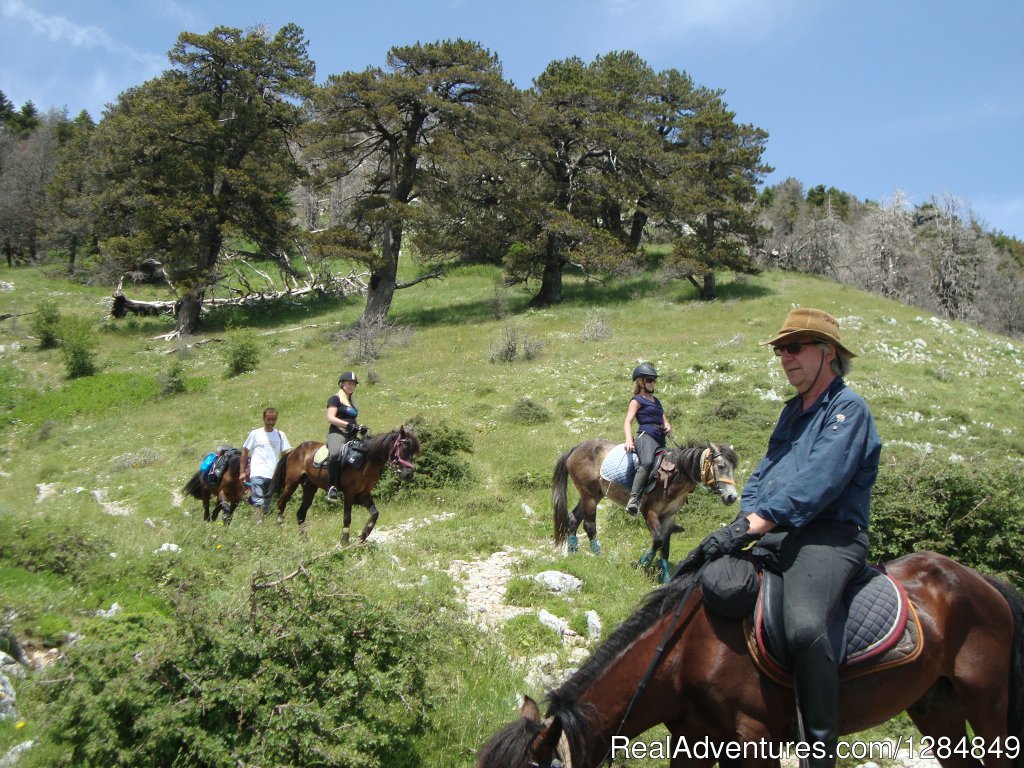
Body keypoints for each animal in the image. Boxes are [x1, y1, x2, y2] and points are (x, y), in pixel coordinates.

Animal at [270, 428, 421, 548]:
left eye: (412, 451)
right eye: (403, 449)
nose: (408, 475)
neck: (366, 460)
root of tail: (294, 451)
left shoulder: (363, 494)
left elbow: (375, 514)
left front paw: (362, 537)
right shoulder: (349, 493)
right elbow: (347, 518)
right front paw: (345, 541)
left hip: (310, 487)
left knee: (301, 513)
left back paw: (304, 539)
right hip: (291, 484)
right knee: (281, 504)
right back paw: (279, 529)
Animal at [475, 552, 1024, 768]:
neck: (683, 653)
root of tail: (980, 582)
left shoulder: (754, 741)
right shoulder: (692, 740)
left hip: (986, 704)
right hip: (936, 708)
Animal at [552, 438, 737, 581]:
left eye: (733, 468)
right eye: (721, 466)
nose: (732, 497)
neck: (674, 476)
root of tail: (576, 448)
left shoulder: (669, 516)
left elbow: (665, 547)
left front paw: (665, 577)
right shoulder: (650, 512)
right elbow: (658, 540)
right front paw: (642, 563)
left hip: (595, 495)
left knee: (573, 518)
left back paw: (573, 552)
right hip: (589, 495)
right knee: (589, 525)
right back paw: (599, 556)